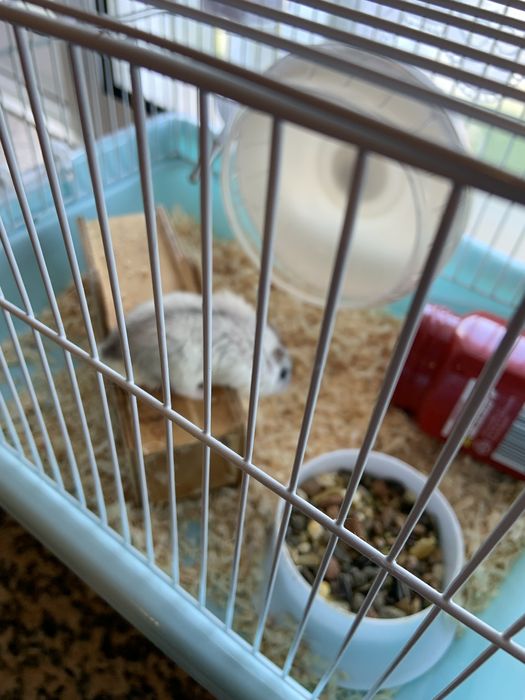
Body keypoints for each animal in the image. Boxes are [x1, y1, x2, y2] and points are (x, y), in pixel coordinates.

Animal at [98, 290, 292, 399]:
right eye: (283, 374)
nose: (288, 385)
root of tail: (109, 350)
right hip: (185, 374)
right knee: (184, 391)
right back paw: (204, 394)